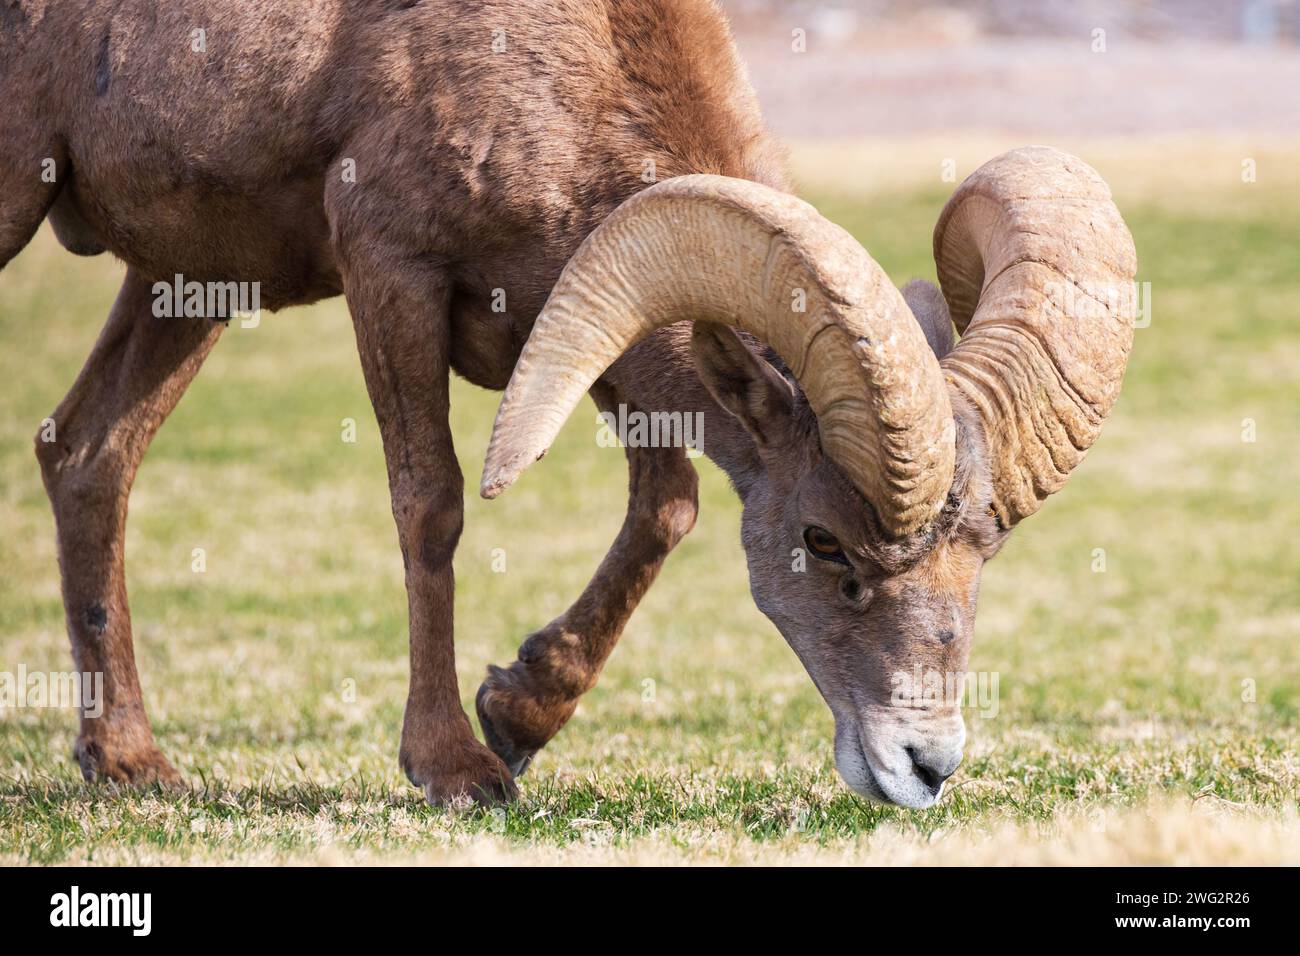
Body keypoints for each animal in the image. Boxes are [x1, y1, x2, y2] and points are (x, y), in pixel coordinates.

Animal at [1, 0, 1135, 808]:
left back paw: (129, 762)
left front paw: (520, 710)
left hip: (191, 283)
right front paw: (457, 766)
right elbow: (432, 503)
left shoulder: (587, 338)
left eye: (984, 552)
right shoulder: (390, 271)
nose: (926, 765)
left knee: (90, 453)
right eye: (823, 542)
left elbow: (666, 508)